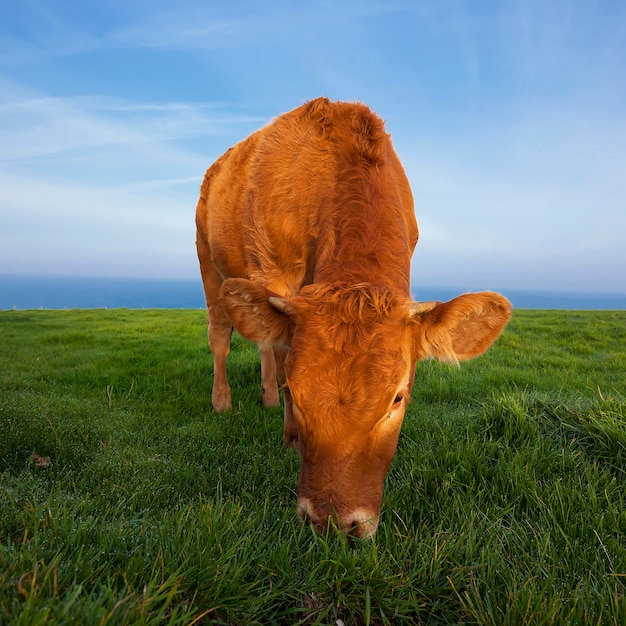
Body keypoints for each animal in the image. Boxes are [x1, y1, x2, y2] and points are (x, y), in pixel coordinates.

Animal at [196, 97, 512, 536]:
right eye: (297, 392)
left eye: (397, 397)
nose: (331, 520)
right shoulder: (272, 272)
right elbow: (277, 349)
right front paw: (288, 427)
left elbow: (273, 345)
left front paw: (277, 405)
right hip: (209, 263)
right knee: (222, 336)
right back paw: (224, 401)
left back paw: (266, 397)